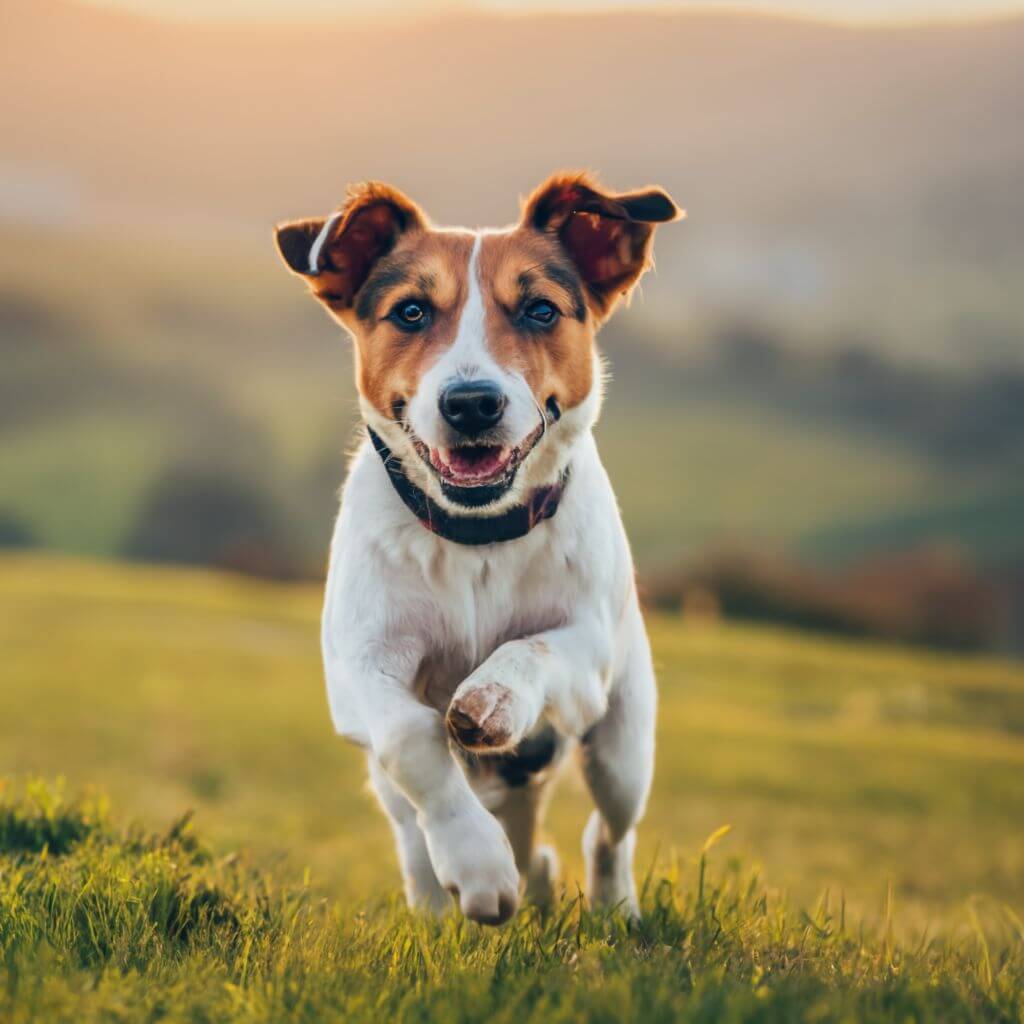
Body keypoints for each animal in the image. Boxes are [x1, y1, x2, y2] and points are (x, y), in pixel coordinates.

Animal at [276, 172, 684, 925]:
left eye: (540, 310)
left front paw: (494, 699)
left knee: (609, 832)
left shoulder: (587, 654)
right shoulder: (358, 667)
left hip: (623, 747)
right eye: (410, 312)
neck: (477, 533)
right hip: (389, 794)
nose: (471, 403)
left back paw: (615, 908)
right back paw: (446, 896)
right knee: (416, 835)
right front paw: (478, 864)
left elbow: (531, 648)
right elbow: (412, 737)